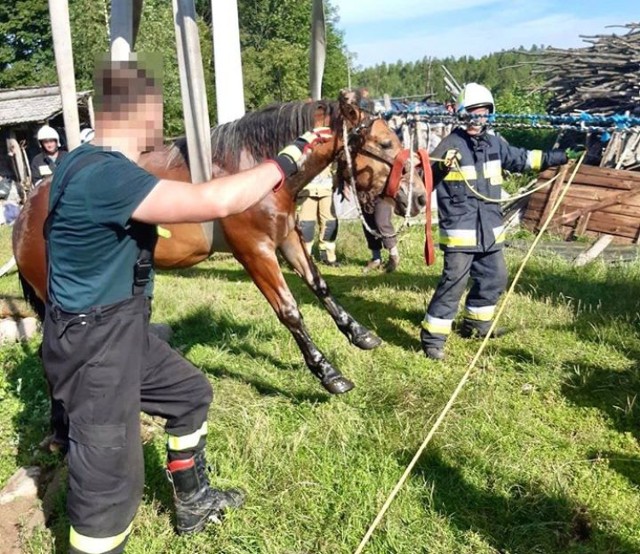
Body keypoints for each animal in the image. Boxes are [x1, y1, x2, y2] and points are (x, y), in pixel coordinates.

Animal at [11, 89, 424, 392]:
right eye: (385, 144)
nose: (419, 197)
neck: (253, 166)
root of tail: (26, 212)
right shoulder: (255, 251)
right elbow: (290, 310)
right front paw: (327, 372)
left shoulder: (286, 237)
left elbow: (319, 285)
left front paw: (359, 333)